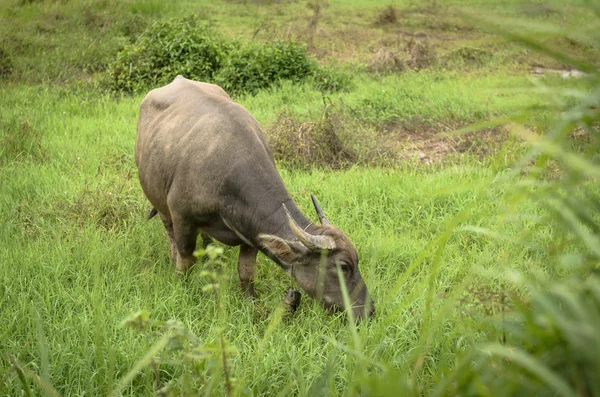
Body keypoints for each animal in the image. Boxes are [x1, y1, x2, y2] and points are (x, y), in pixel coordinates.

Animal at [136, 75, 376, 318]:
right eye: (343, 266)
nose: (369, 310)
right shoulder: (183, 218)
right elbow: (185, 262)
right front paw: (183, 288)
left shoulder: (250, 231)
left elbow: (246, 272)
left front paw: (249, 301)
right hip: (158, 199)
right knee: (169, 230)